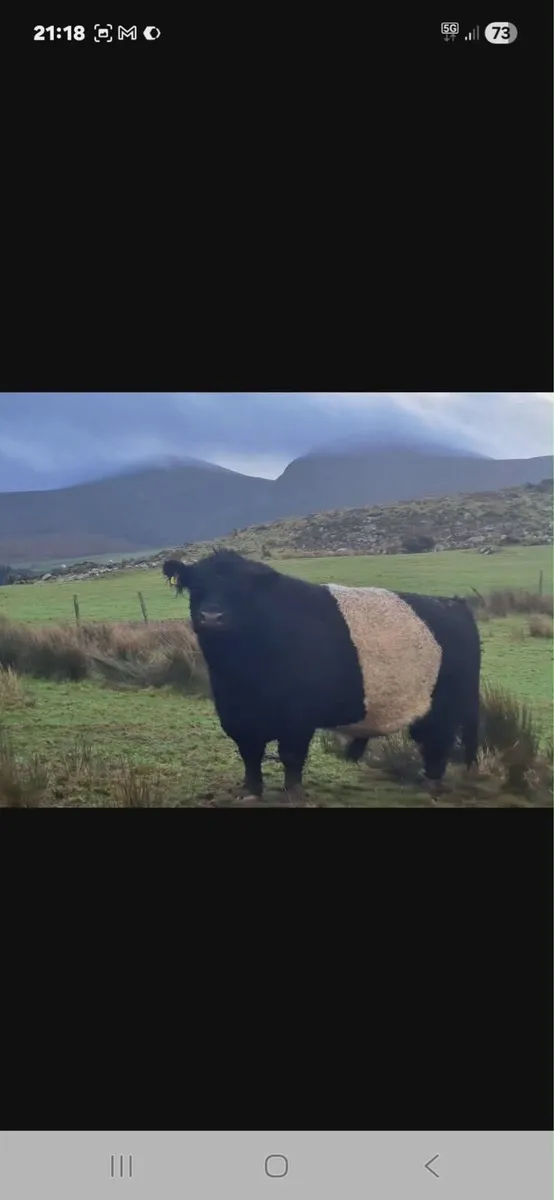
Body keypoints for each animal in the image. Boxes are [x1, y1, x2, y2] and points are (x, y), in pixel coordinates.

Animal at [163, 550, 481, 802]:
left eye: (242, 591)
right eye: (196, 587)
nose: (212, 617)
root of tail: (454, 604)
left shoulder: (298, 718)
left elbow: (291, 754)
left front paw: (294, 794)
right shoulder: (237, 715)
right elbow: (250, 754)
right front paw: (250, 791)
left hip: (445, 705)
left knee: (439, 742)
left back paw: (431, 786)